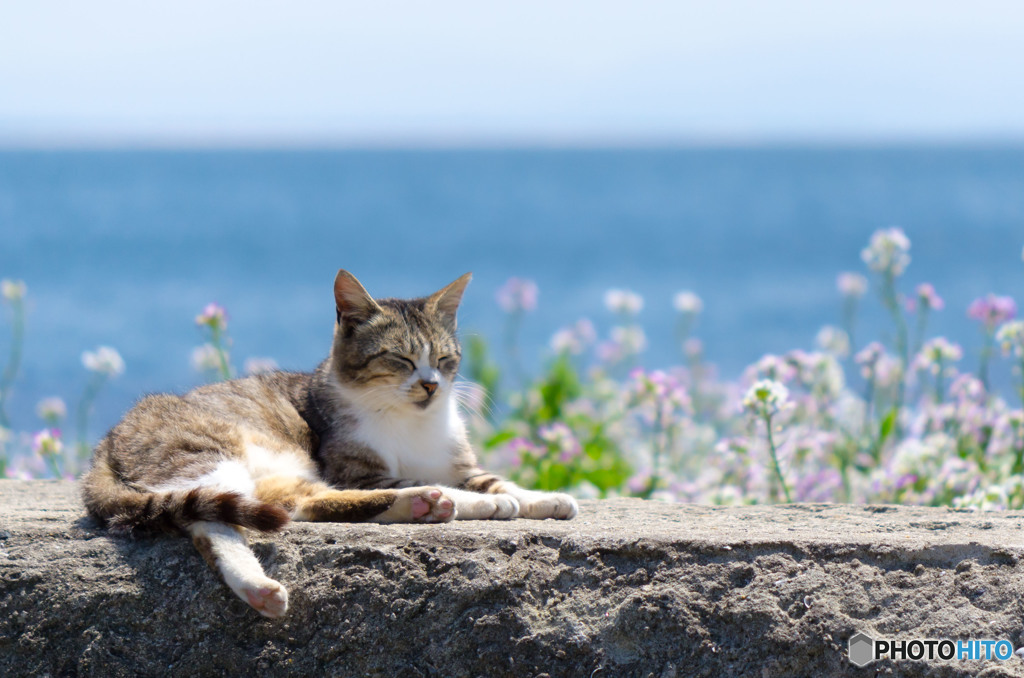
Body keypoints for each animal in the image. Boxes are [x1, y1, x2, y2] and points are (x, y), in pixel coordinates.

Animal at [81, 268, 577, 618]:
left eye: (443, 358)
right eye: (400, 359)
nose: (432, 385)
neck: (410, 422)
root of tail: (107, 440)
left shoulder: (459, 464)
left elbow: (496, 481)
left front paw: (542, 498)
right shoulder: (355, 469)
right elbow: (415, 480)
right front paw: (485, 503)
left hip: (277, 472)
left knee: (294, 503)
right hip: (208, 455)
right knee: (214, 519)